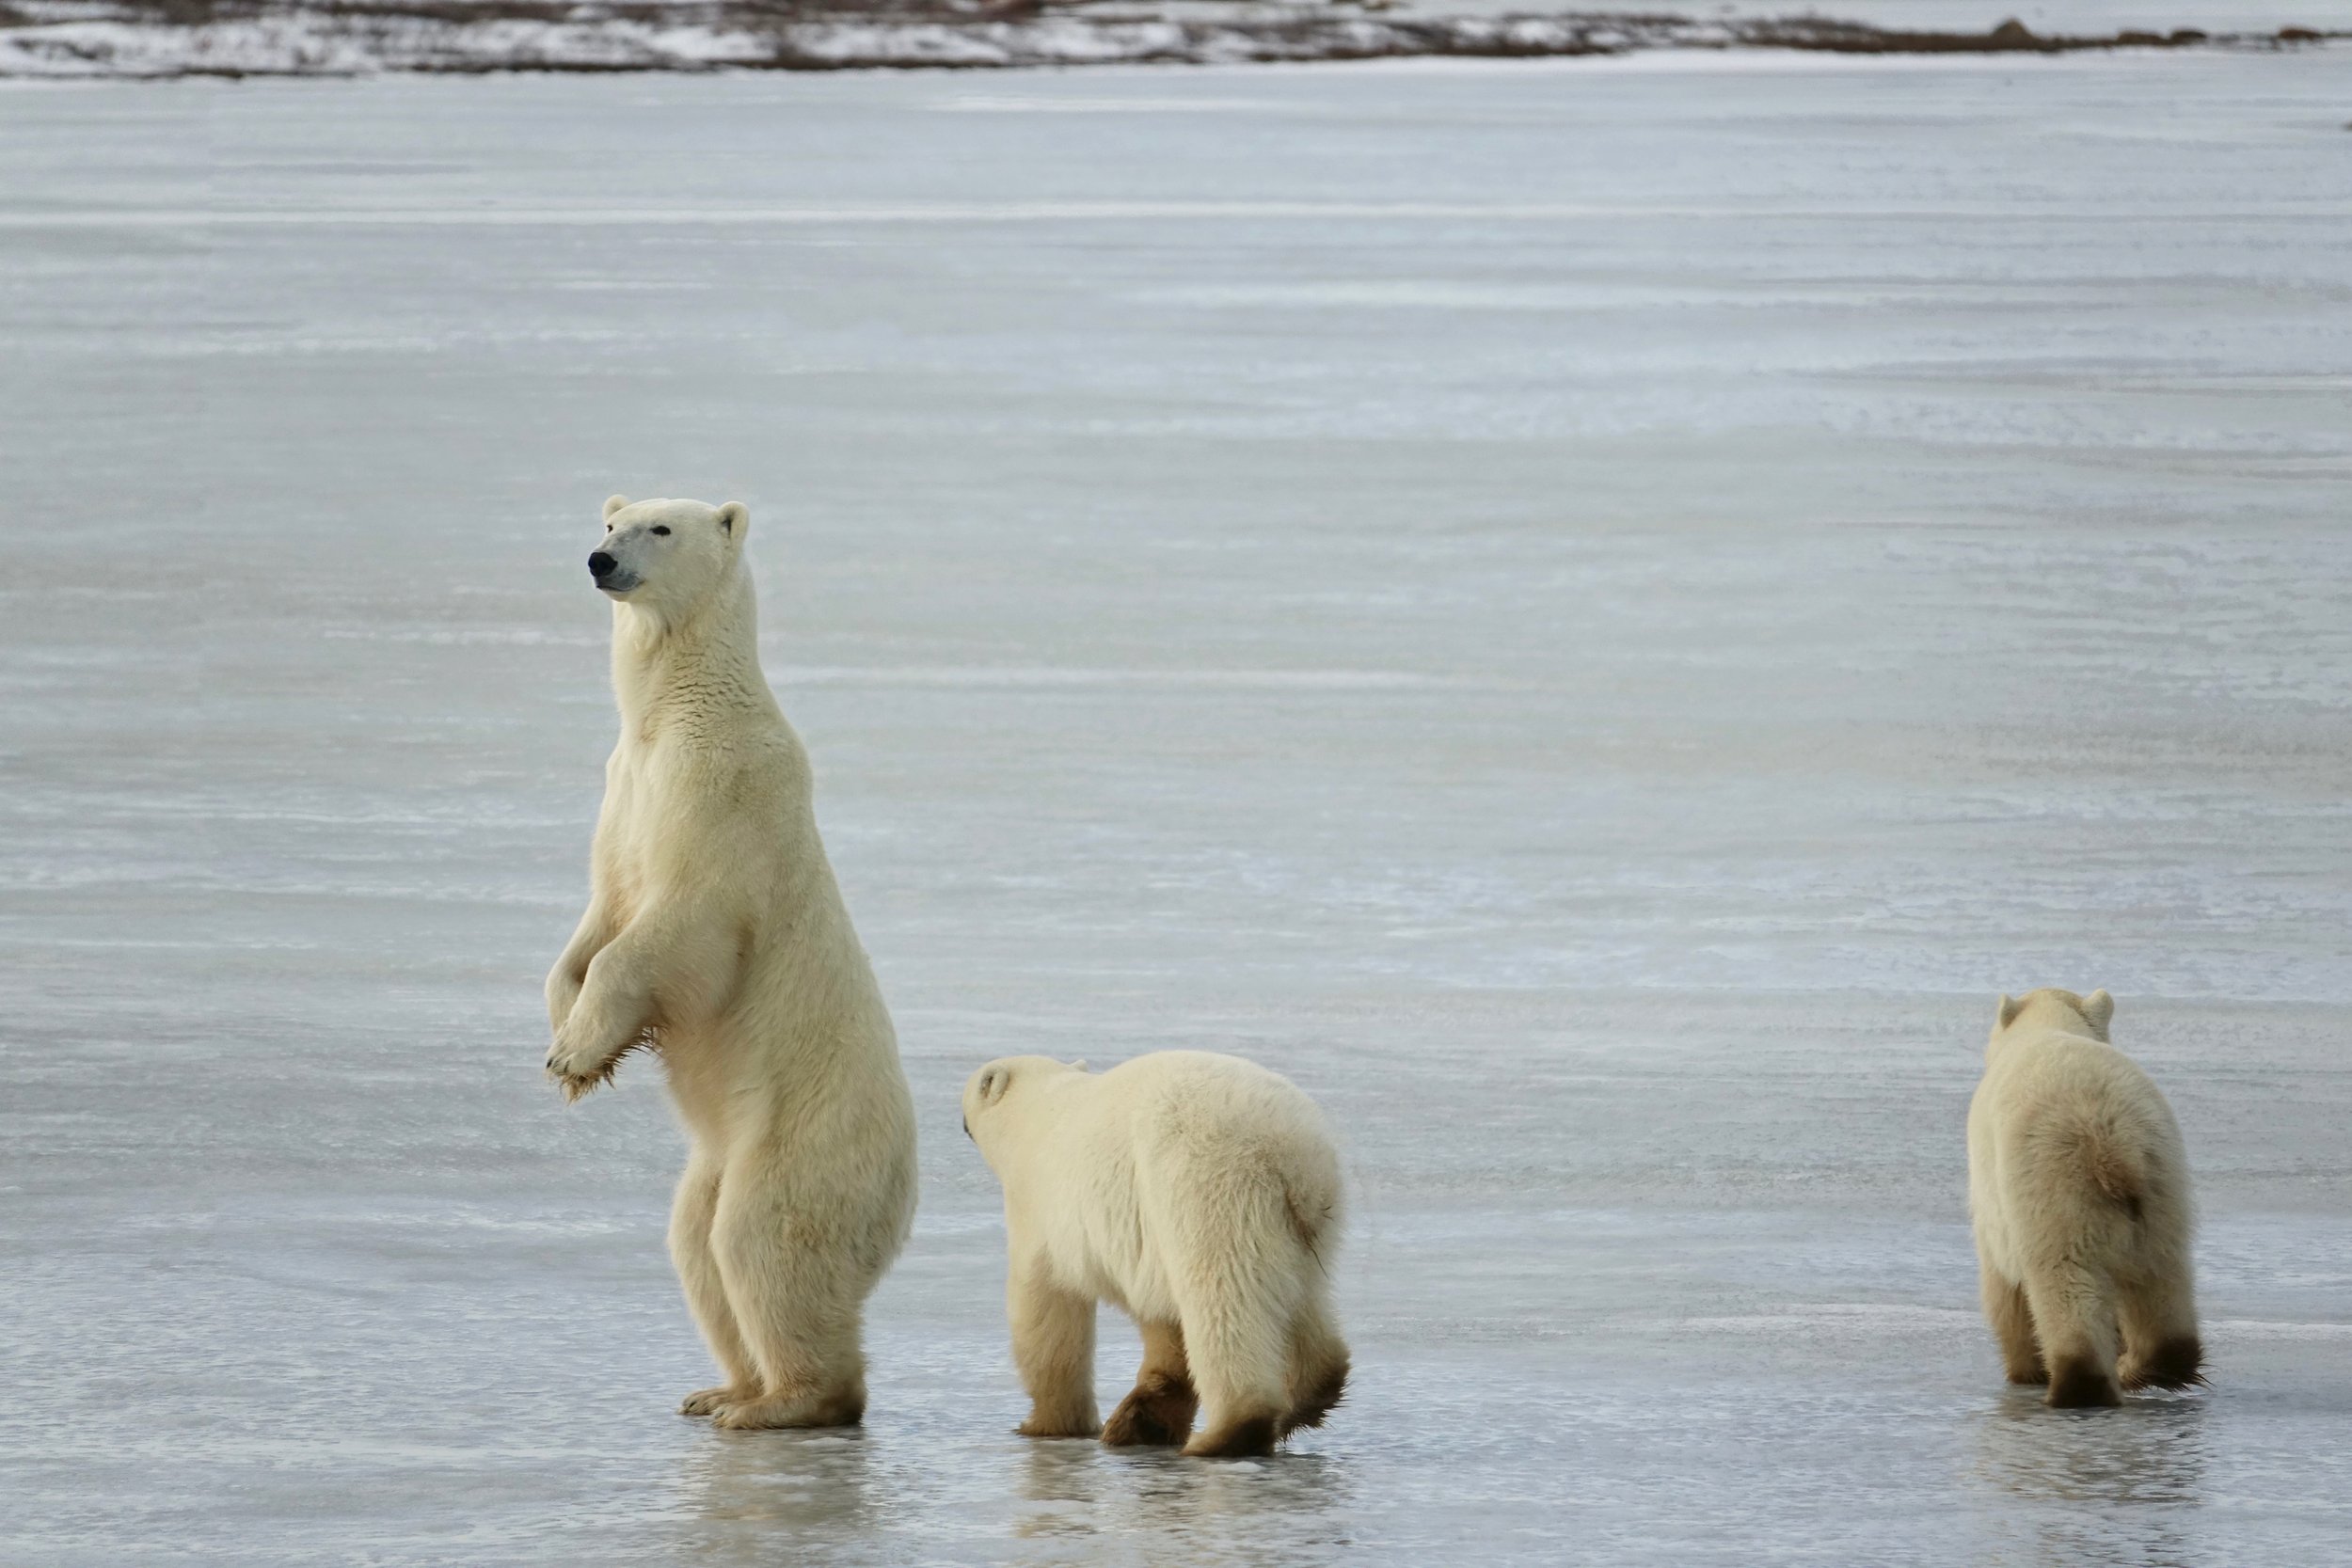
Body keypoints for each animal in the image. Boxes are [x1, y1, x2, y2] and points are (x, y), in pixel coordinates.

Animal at [544, 494, 918, 1431]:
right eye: (610, 521)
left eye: (661, 529)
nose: (600, 561)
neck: (677, 712)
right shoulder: (624, 789)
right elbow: (597, 917)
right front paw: (568, 1036)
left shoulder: (718, 797)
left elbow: (676, 930)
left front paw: (576, 1051)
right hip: (720, 1152)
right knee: (695, 1242)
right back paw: (720, 1388)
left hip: (804, 1137)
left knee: (760, 1241)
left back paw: (785, 1401)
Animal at [960, 1049, 1350, 1459]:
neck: (1039, 1110)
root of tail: (1293, 1155)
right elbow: (1162, 1317)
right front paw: (1144, 1420)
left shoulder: (1040, 1207)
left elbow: (1047, 1311)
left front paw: (1049, 1424)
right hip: (1308, 1229)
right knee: (1304, 1301)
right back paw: (1307, 1397)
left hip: (1211, 1189)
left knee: (1222, 1301)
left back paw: (1225, 1433)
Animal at [1968, 987, 2203, 1408]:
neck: (2049, 1024)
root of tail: (2112, 1143)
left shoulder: (1992, 1186)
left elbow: (2002, 1283)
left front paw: (2025, 1371)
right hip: (2163, 1185)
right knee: (2162, 1279)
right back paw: (2146, 1367)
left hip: (2057, 1188)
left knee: (2064, 1277)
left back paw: (2077, 1385)